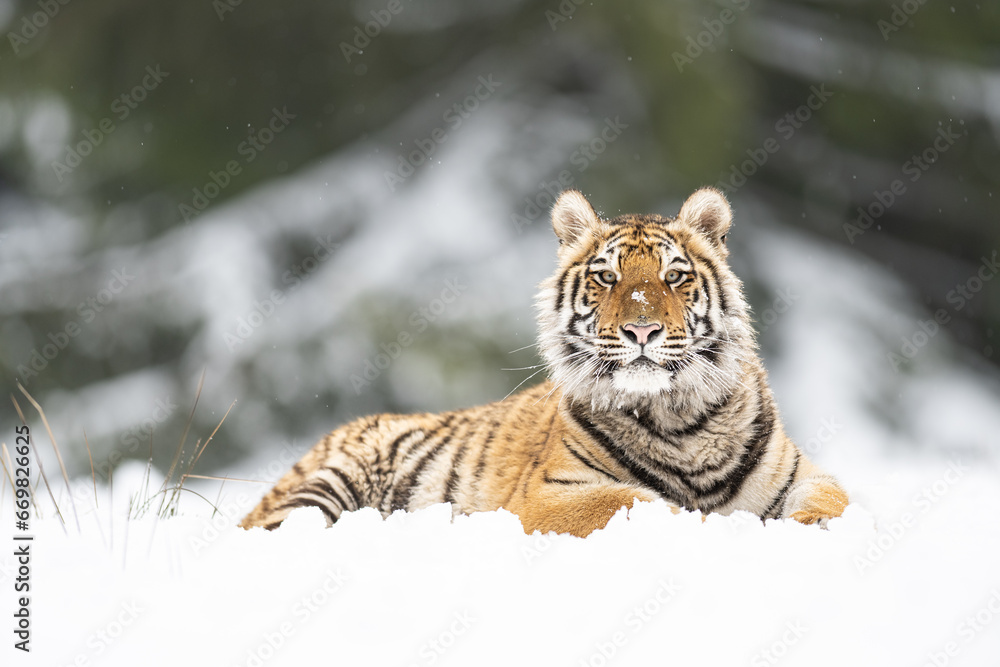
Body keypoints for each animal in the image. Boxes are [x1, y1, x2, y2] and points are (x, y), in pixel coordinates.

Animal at [240, 187, 849, 537]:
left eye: (674, 276)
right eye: (607, 277)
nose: (642, 330)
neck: (678, 418)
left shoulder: (802, 473)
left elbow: (834, 502)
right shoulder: (550, 496)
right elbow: (638, 503)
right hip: (326, 485)